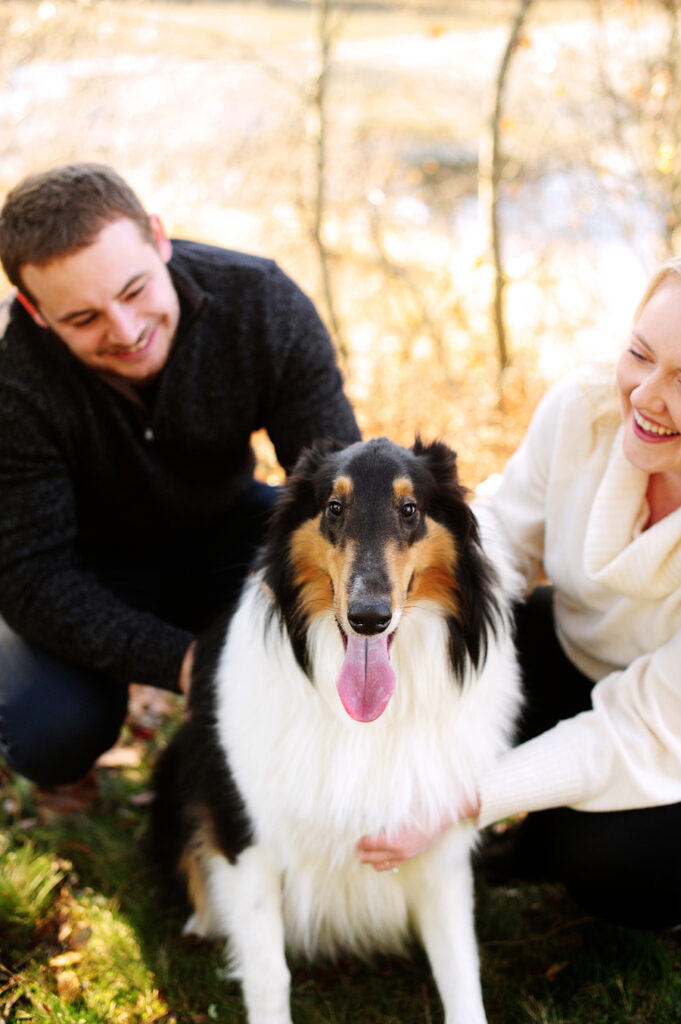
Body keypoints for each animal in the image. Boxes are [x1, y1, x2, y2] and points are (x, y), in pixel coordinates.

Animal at [150, 438, 520, 1024]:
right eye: (334, 508)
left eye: (409, 509)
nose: (369, 618)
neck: (367, 722)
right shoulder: (248, 839)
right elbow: (269, 974)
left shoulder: (436, 844)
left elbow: (461, 970)